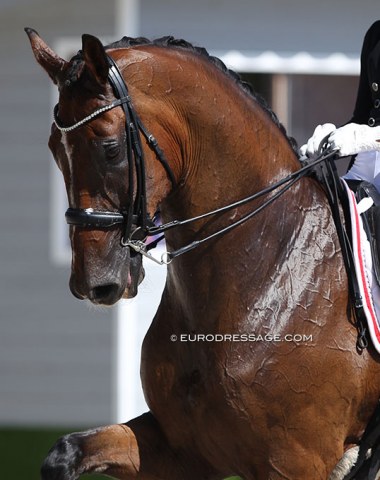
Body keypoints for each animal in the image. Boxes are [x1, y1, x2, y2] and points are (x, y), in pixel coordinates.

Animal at [26, 28, 380, 478]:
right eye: (55, 148)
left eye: (111, 149)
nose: (93, 284)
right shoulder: (182, 449)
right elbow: (65, 453)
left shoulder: (297, 460)